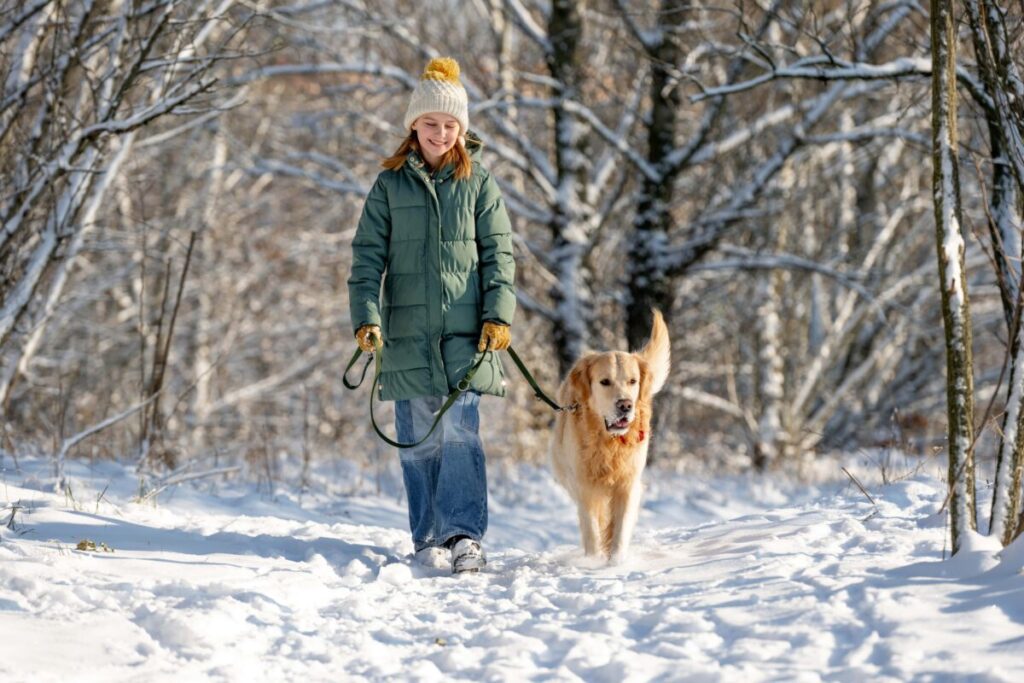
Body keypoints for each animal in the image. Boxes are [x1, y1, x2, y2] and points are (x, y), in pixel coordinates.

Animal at [548, 307, 667, 565]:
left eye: (633, 381)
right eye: (604, 382)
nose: (625, 405)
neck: (608, 443)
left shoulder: (628, 483)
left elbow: (620, 528)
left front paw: (615, 563)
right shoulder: (584, 486)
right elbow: (591, 528)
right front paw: (593, 562)